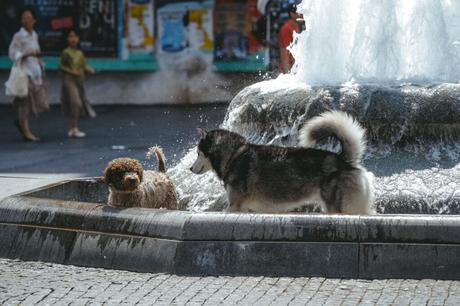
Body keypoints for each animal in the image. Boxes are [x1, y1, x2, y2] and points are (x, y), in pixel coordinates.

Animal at [190, 111, 374, 214]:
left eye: (198, 153)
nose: (190, 168)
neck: (234, 155)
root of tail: (344, 160)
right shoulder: (242, 208)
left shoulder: (234, 206)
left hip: (339, 208)